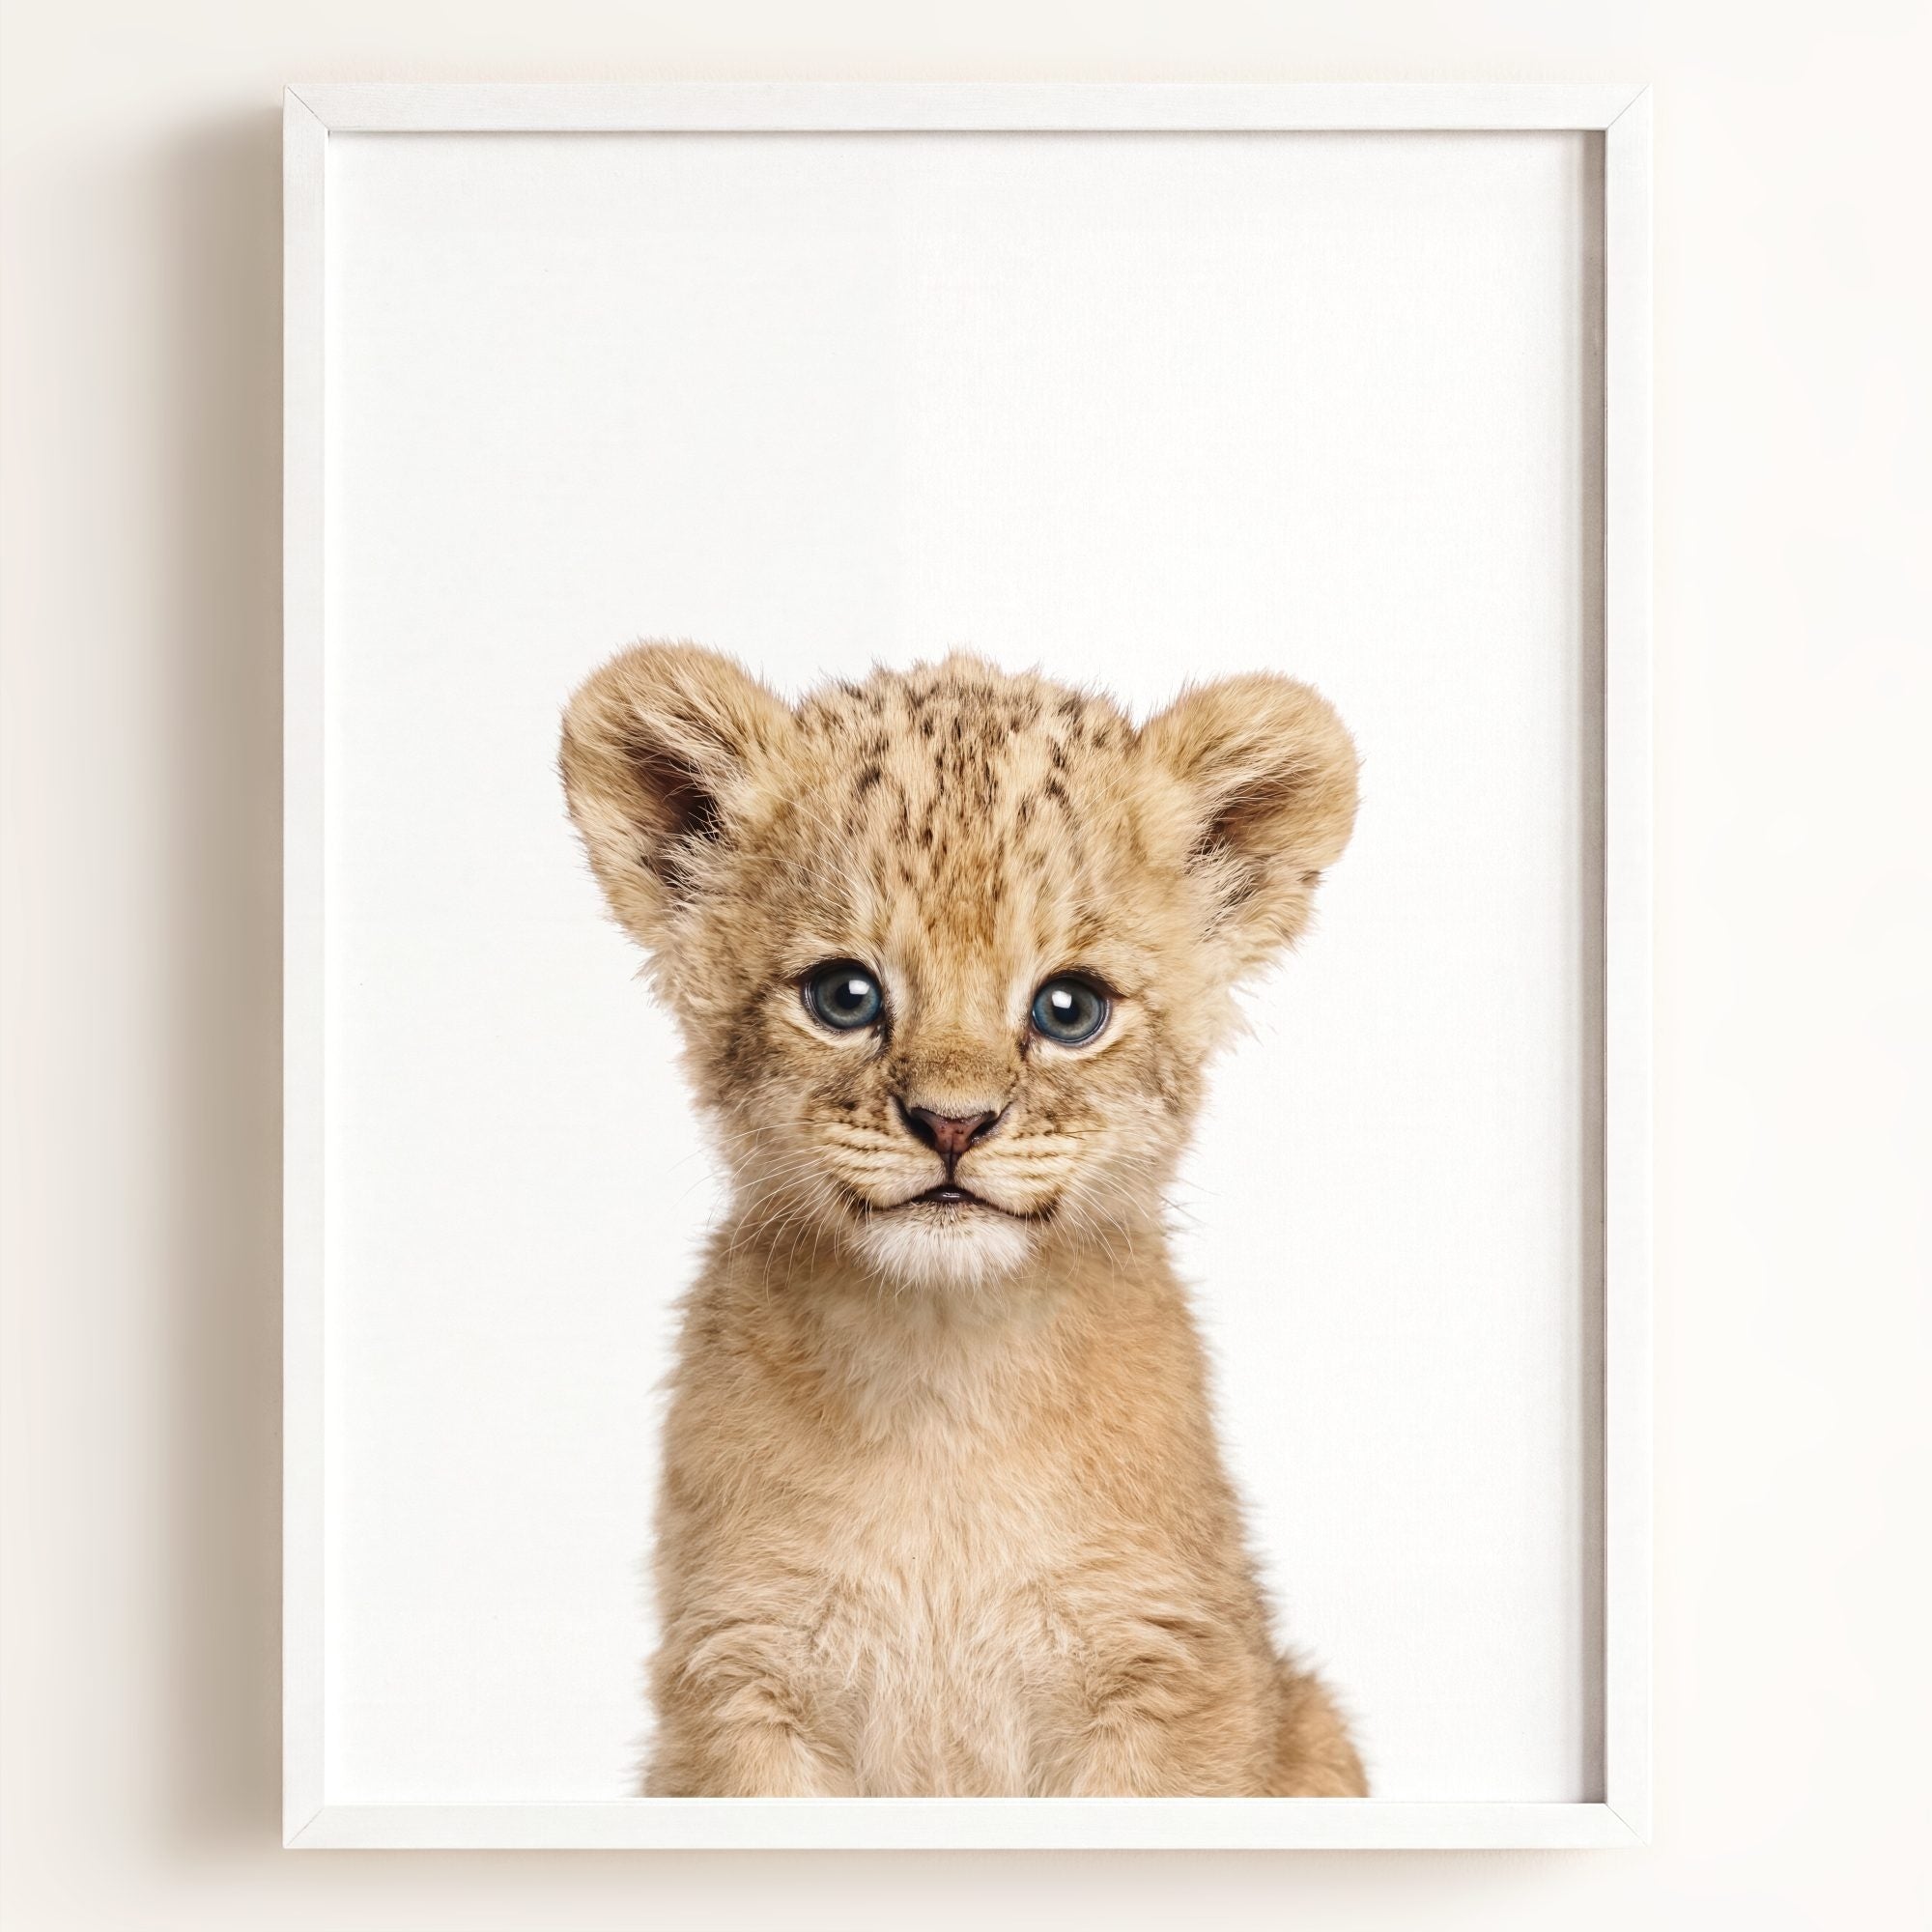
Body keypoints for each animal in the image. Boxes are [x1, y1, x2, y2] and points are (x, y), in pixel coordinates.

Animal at [560, 644, 1366, 1797]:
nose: (952, 1122)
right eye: (843, 995)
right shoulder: (740, 1678)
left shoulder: (1168, 1671)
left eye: (1069, 1008)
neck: (942, 1379)